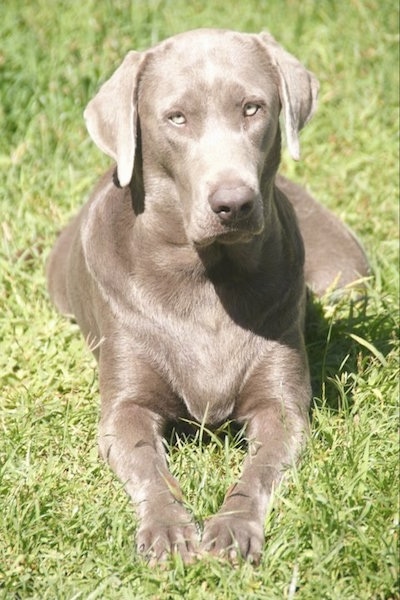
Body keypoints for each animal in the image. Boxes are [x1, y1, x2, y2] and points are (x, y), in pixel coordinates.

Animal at [47, 27, 368, 564]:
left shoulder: (281, 404)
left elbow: (261, 467)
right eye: (177, 117)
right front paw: (168, 530)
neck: (205, 278)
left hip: (348, 279)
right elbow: (148, 466)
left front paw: (233, 528)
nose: (233, 203)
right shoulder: (125, 405)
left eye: (253, 108)